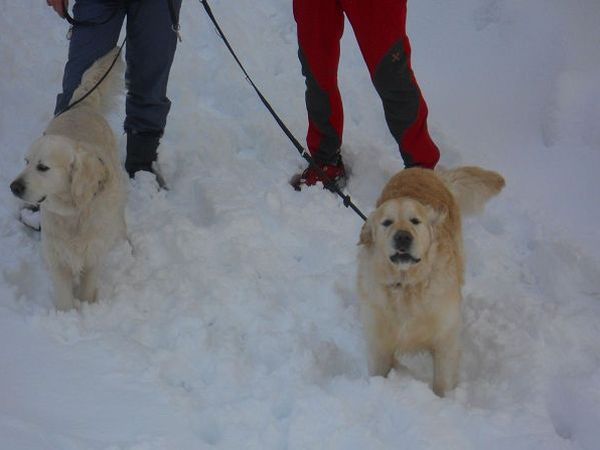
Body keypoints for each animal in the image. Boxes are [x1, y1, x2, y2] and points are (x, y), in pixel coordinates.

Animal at [9, 48, 125, 310]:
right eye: (26, 161)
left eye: (43, 167)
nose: (13, 187)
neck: (74, 214)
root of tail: (83, 106)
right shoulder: (57, 254)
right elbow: (63, 296)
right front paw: (67, 314)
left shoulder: (93, 253)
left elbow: (88, 286)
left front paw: (87, 306)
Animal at [358, 167, 504, 396]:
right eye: (387, 222)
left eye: (415, 221)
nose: (402, 237)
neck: (406, 286)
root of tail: (424, 170)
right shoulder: (378, 342)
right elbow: (378, 372)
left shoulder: (445, 340)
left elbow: (442, 382)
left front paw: (442, 400)